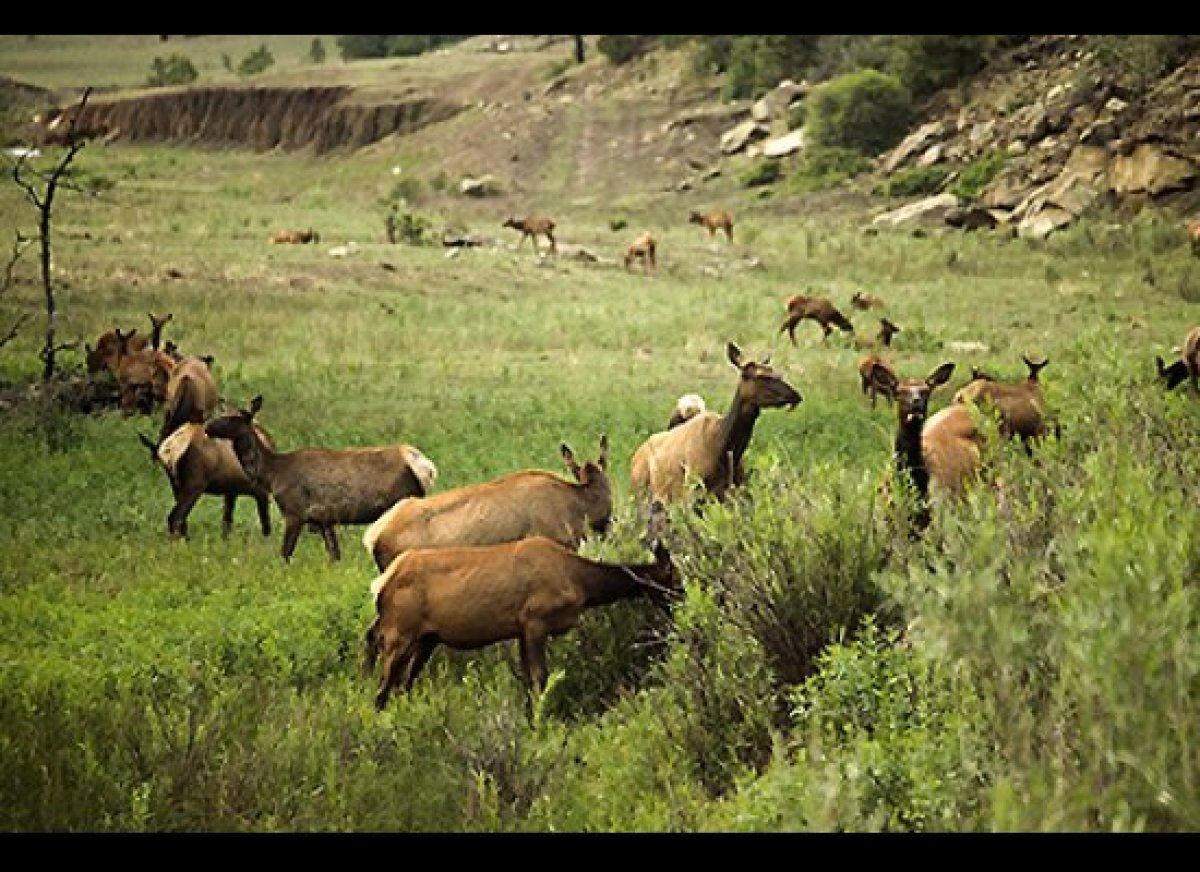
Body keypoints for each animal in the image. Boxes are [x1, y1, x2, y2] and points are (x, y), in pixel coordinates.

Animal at [137, 424, 273, 539]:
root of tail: (168, 451)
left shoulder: (231, 491)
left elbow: (227, 521)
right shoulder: (261, 491)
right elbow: (265, 522)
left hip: (176, 485)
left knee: (181, 518)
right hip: (194, 485)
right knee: (175, 517)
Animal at [204, 395, 437, 562]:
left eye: (235, 418)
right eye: (222, 412)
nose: (207, 427)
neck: (273, 474)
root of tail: (425, 467)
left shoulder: (294, 511)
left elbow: (285, 553)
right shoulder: (325, 520)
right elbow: (334, 556)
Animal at [364, 535, 679, 710]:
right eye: (674, 579)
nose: (682, 605)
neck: (581, 584)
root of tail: (380, 585)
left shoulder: (520, 630)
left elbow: (528, 682)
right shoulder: (535, 621)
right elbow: (540, 679)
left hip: (426, 638)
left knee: (400, 681)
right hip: (400, 632)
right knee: (382, 687)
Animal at [630, 342, 801, 505]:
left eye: (777, 373)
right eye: (761, 376)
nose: (796, 395)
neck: (724, 448)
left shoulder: (734, 490)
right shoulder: (692, 489)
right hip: (644, 493)